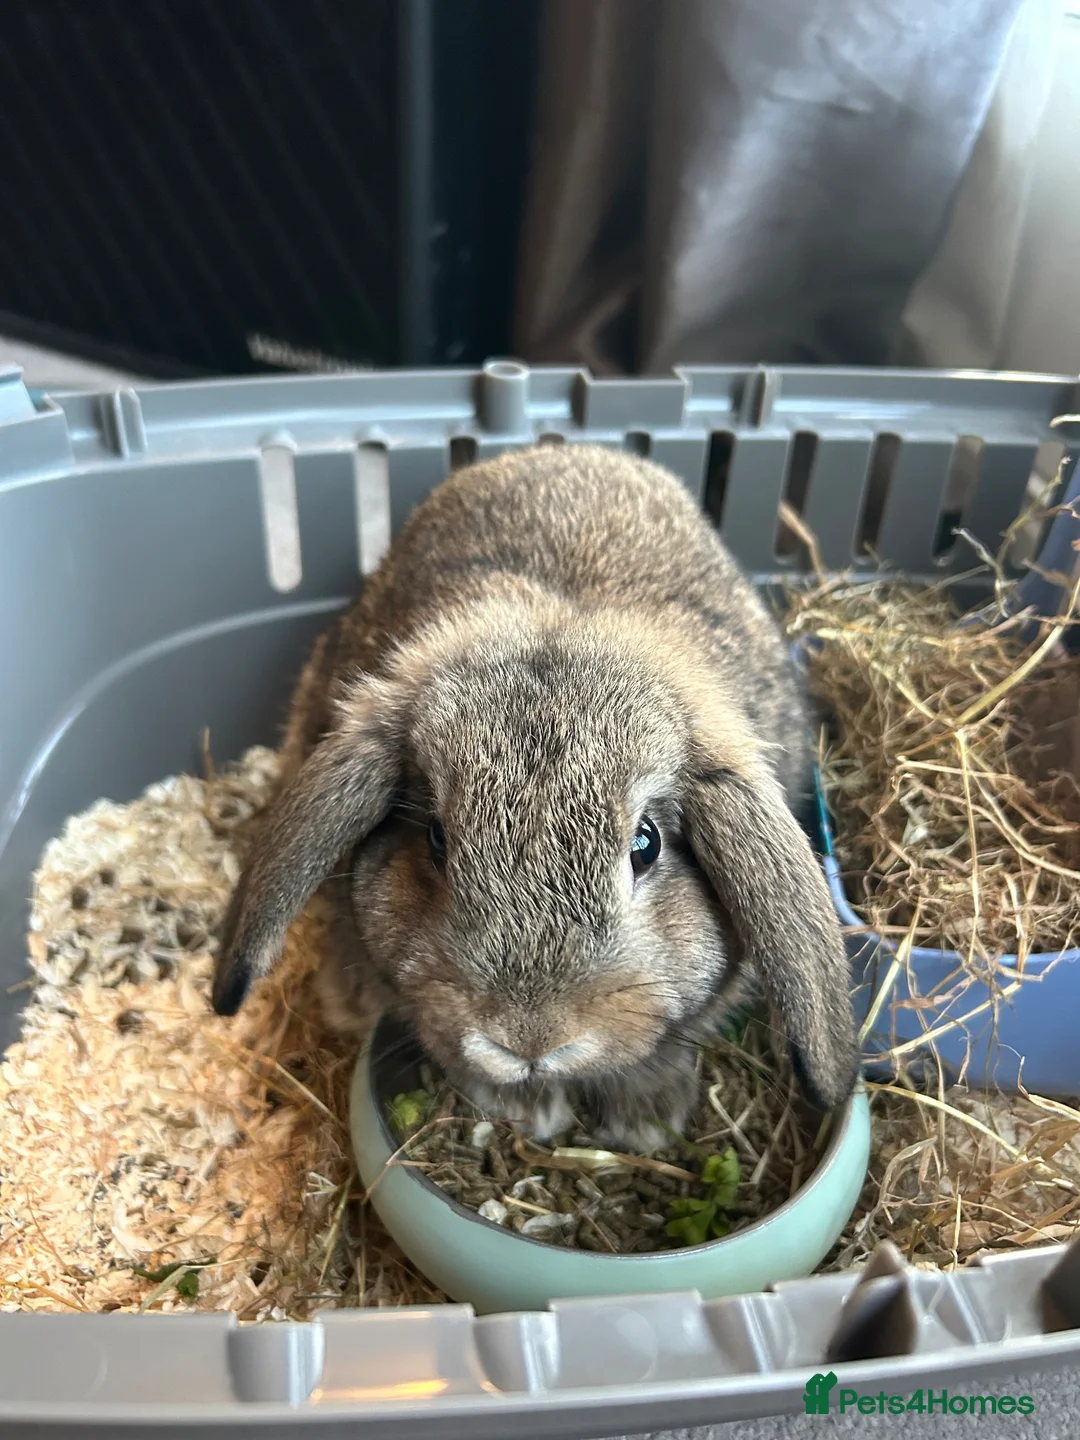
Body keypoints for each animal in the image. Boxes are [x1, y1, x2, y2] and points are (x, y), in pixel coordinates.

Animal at [211, 443, 858, 1152]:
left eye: (646, 845)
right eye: (436, 838)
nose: (527, 1040)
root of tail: (560, 448)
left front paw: (647, 1118)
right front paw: (524, 1106)